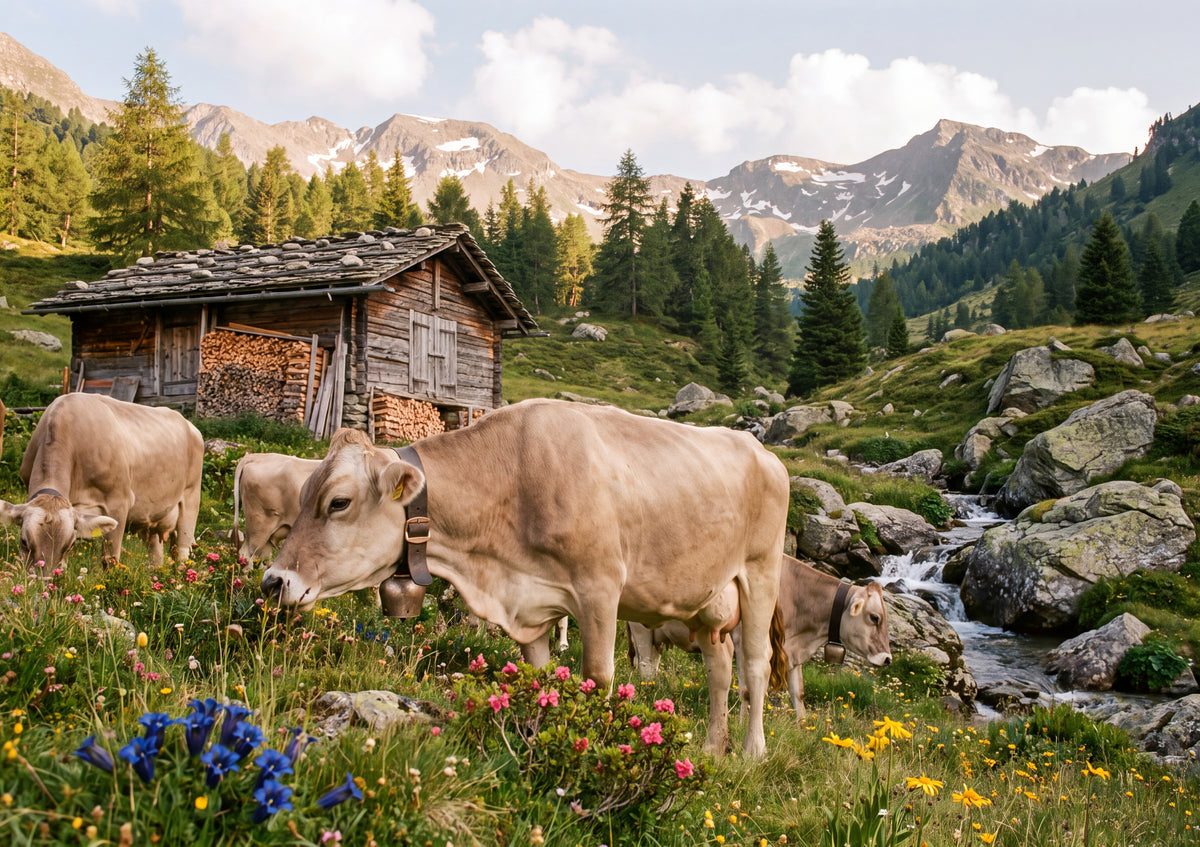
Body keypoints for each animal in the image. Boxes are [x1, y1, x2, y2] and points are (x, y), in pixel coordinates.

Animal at [0, 393, 203, 570]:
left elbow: (110, 560)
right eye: (24, 541)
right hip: (153, 519)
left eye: (70, 544)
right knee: (156, 555)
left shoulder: (119, 502)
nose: (45, 582)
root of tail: (190, 425)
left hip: (191, 499)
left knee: (183, 552)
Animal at [261, 398, 790, 756]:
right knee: (719, 668)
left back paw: (752, 751)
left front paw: (591, 751)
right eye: (303, 493)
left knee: (754, 667)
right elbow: (540, 680)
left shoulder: (600, 588)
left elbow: (598, 677)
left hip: (761, 573)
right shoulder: (529, 606)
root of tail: (761, 451)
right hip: (708, 600)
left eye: (338, 502)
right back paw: (712, 747)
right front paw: (541, 743)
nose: (272, 582)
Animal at [628, 555, 892, 720]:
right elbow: (747, 690)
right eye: (875, 618)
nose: (887, 658)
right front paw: (743, 723)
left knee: (651, 663)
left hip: (655, 635)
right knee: (645, 666)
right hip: (639, 627)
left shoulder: (791, 652)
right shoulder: (744, 643)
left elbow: (798, 693)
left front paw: (803, 725)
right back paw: (649, 695)